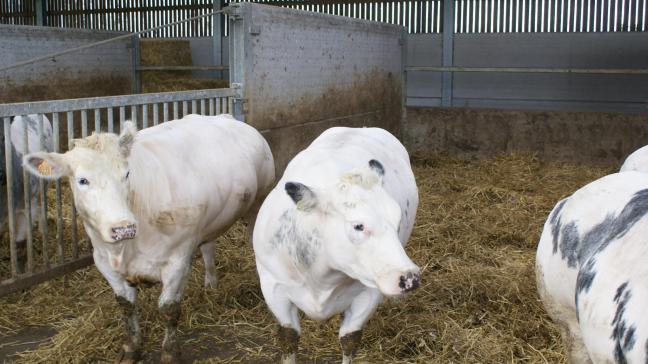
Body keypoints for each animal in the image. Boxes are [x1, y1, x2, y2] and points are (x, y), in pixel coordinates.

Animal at [251, 126, 422, 362]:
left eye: (397, 221)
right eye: (358, 226)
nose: (409, 278)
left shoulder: (367, 294)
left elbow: (350, 340)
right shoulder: (273, 286)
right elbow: (288, 337)